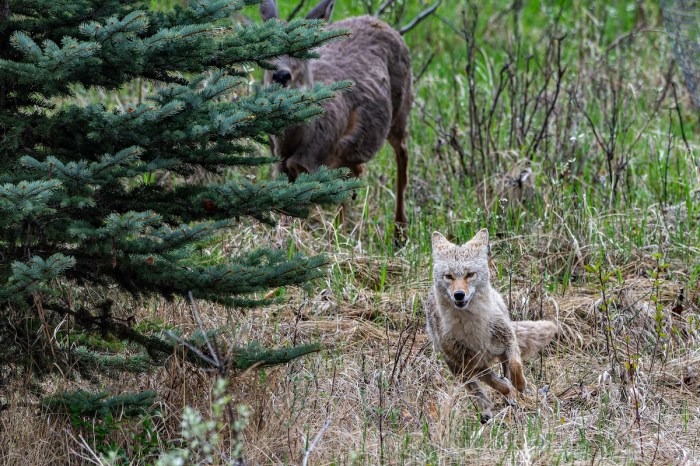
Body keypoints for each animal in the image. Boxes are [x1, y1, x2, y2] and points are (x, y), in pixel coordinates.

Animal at [259, 0, 413, 236]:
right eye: (266, 47)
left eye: (303, 48)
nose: (281, 75)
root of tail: (378, 21)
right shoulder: (282, 167)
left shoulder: (315, 164)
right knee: (355, 172)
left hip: (401, 108)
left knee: (402, 155)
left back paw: (400, 231)